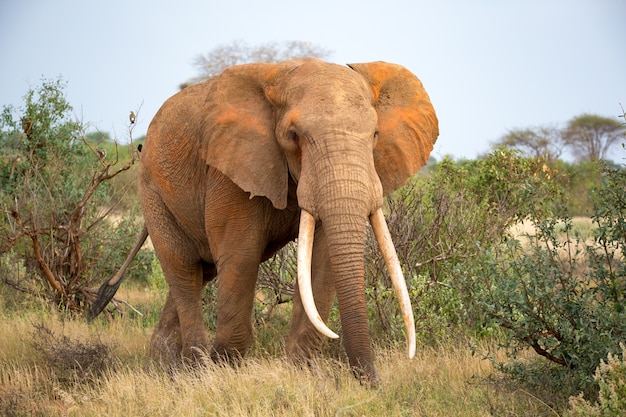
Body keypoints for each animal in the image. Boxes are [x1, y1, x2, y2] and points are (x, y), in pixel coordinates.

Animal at [90, 58, 436, 384]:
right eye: (293, 136)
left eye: (375, 135)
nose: (372, 382)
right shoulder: (230, 167)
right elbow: (241, 256)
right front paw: (224, 370)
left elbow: (321, 262)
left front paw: (302, 373)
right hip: (153, 192)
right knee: (183, 268)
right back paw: (195, 369)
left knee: (202, 272)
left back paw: (163, 363)